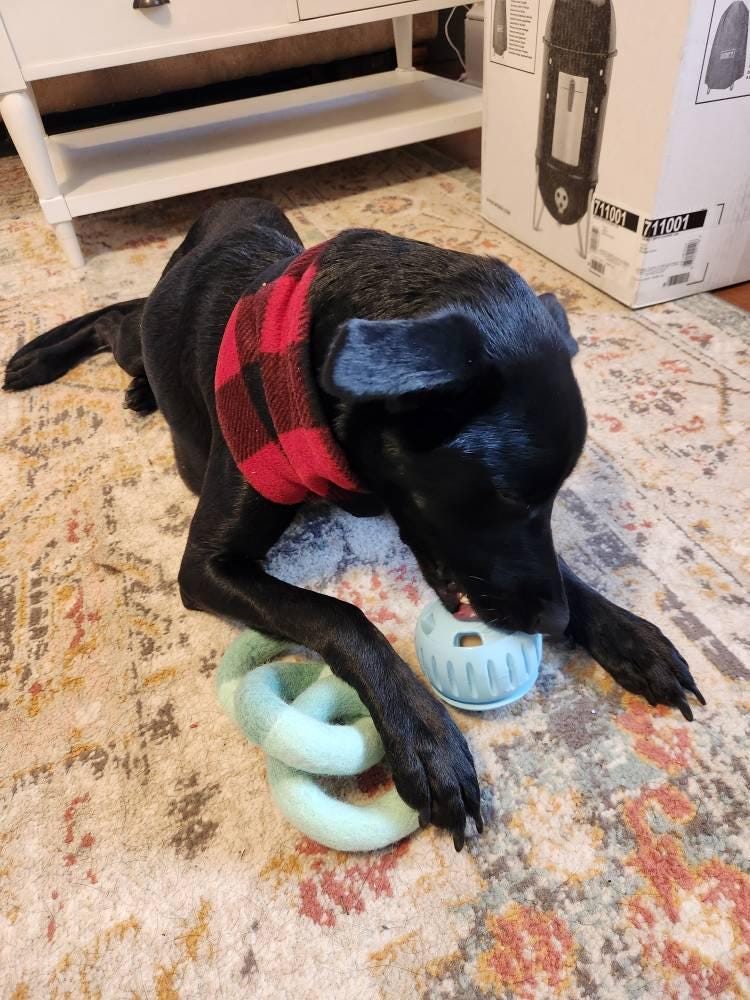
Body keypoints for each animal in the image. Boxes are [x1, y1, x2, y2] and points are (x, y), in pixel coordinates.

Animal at [4, 198, 704, 850]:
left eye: (556, 495)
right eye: (507, 498)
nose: (555, 626)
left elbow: (561, 566)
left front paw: (629, 635)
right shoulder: (205, 566)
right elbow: (341, 614)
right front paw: (424, 737)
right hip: (139, 338)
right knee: (115, 318)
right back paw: (38, 362)